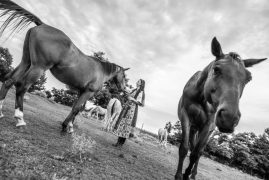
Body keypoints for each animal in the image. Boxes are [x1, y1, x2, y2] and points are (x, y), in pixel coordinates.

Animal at [0, 0, 128, 133]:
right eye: (124, 75)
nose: (123, 88)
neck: (101, 70)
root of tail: (42, 25)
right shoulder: (88, 92)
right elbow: (76, 109)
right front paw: (67, 127)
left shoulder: (81, 92)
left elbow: (75, 108)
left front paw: (69, 126)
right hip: (38, 68)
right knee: (22, 87)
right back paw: (20, 119)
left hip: (26, 62)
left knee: (9, 81)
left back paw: (1, 113)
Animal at [174, 37, 266, 179]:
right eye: (216, 69)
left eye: (249, 78)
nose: (229, 118)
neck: (200, 96)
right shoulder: (185, 116)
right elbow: (184, 148)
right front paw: (179, 175)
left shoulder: (208, 125)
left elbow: (196, 154)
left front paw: (187, 174)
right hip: (194, 128)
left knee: (199, 151)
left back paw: (193, 174)